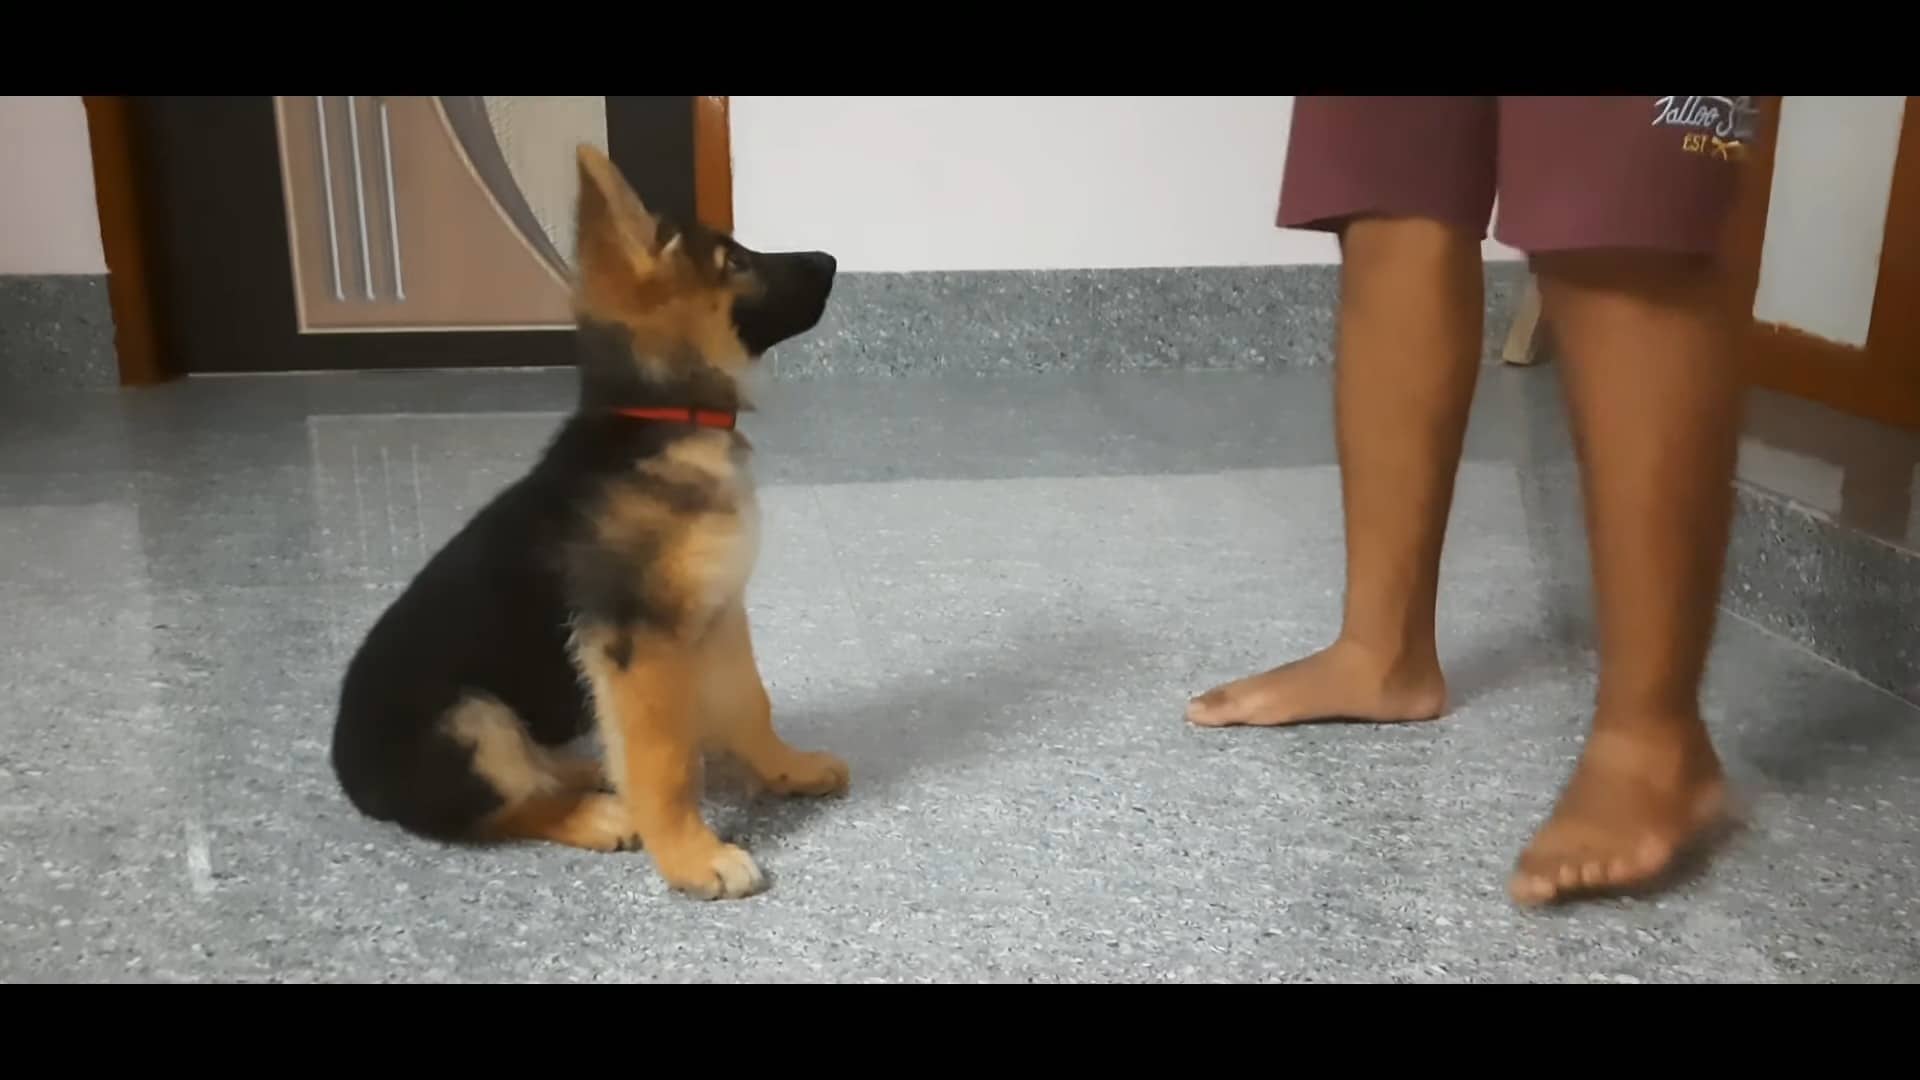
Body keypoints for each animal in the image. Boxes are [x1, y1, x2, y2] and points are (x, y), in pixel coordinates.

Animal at [330, 145, 848, 899]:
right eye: (734, 261)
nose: (833, 258)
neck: (665, 417)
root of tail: (349, 780)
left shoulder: (720, 612)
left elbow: (751, 703)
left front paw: (787, 767)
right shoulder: (640, 645)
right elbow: (665, 761)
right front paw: (691, 854)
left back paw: (587, 771)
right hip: (471, 720)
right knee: (507, 809)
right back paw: (595, 813)